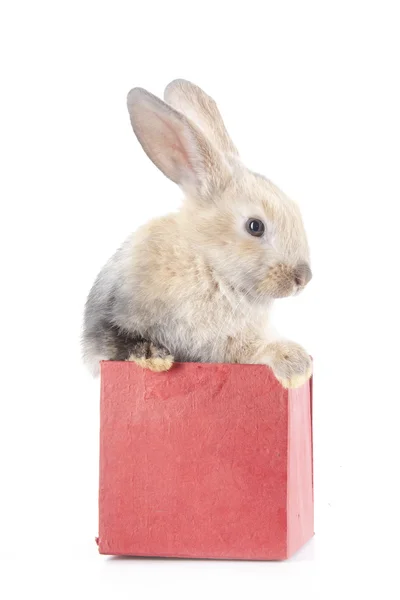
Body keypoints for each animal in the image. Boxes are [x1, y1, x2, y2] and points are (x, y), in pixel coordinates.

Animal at [82, 79, 312, 390]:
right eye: (255, 226)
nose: (303, 278)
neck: (209, 267)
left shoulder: (228, 344)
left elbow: (252, 349)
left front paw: (296, 364)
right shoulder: (110, 316)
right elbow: (119, 341)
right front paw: (155, 358)